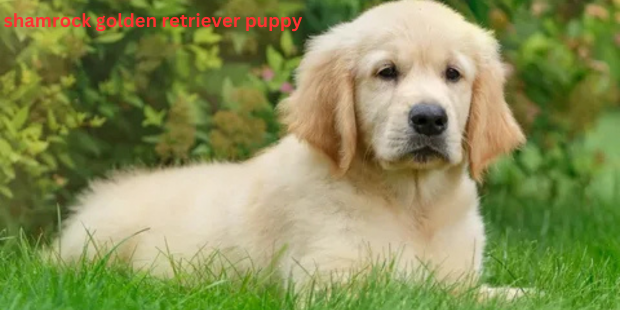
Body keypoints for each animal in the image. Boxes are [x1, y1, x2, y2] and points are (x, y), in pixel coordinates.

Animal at [54, 0, 528, 300]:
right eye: (386, 72)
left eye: (453, 74)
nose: (429, 118)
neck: (412, 205)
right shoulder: (327, 280)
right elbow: (419, 292)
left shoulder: (458, 270)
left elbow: (478, 292)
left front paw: (517, 292)